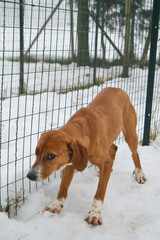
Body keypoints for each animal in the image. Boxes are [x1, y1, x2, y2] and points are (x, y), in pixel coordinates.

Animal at [27, 87, 146, 225]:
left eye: (51, 156)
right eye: (36, 151)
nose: (30, 176)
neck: (85, 130)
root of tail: (118, 88)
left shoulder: (103, 162)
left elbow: (99, 193)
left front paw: (95, 213)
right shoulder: (71, 163)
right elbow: (63, 188)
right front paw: (56, 205)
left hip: (130, 135)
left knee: (134, 153)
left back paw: (139, 173)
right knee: (114, 148)